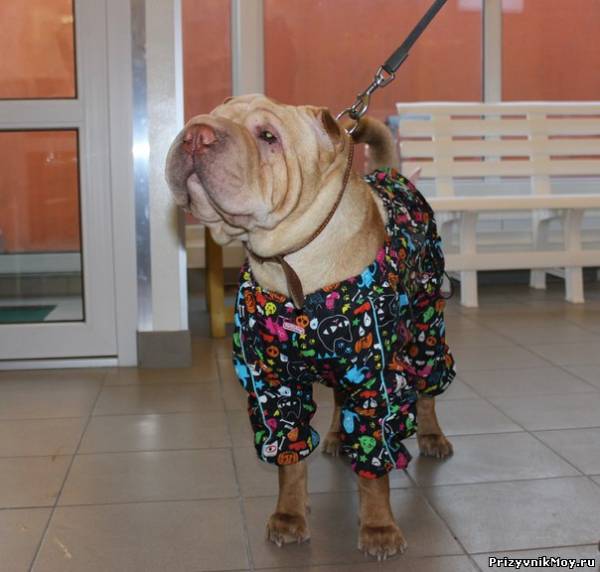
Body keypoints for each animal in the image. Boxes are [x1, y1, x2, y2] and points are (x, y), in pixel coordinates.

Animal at [165, 94, 455, 560]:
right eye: (206, 117)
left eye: (268, 136)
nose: (196, 134)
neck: (289, 264)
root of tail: (390, 172)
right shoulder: (272, 384)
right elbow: (289, 458)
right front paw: (289, 516)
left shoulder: (374, 379)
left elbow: (375, 469)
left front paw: (378, 527)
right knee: (339, 399)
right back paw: (337, 435)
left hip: (426, 326)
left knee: (428, 385)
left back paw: (432, 436)